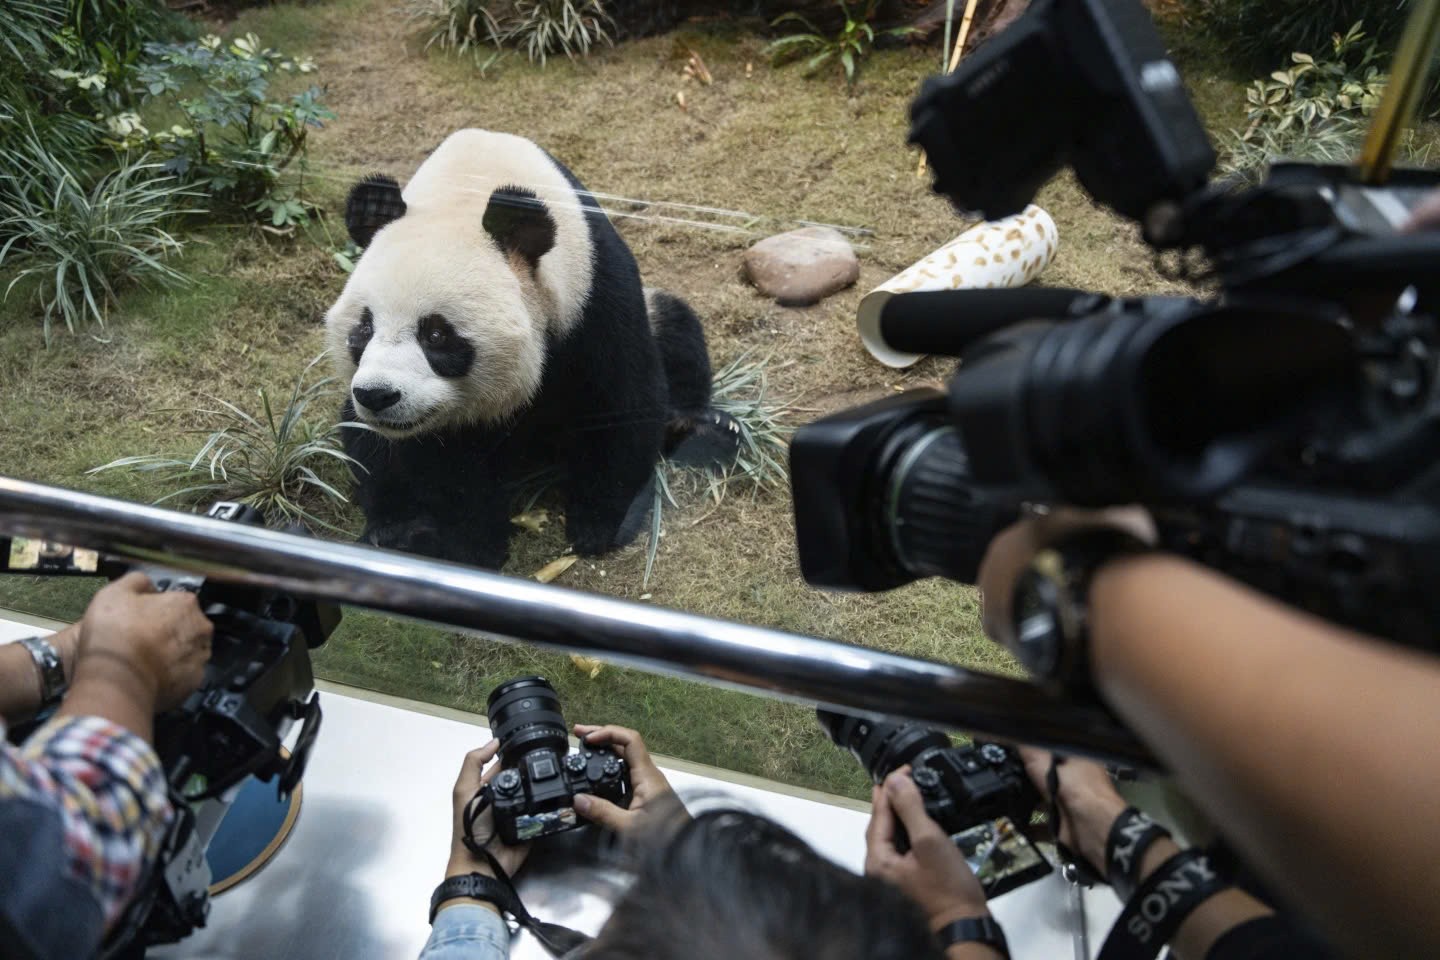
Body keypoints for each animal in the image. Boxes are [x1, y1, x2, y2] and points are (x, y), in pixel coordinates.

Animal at [325, 130, 731, 567]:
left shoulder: (593, 293)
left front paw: (599, 526)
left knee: (675, 328)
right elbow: (434, 464)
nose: (378, 395)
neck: (469, 187)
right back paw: (395, 532)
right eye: (364, 328)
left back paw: (703, 428)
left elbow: (620, 403)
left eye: (436, 335)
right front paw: (468, 544)